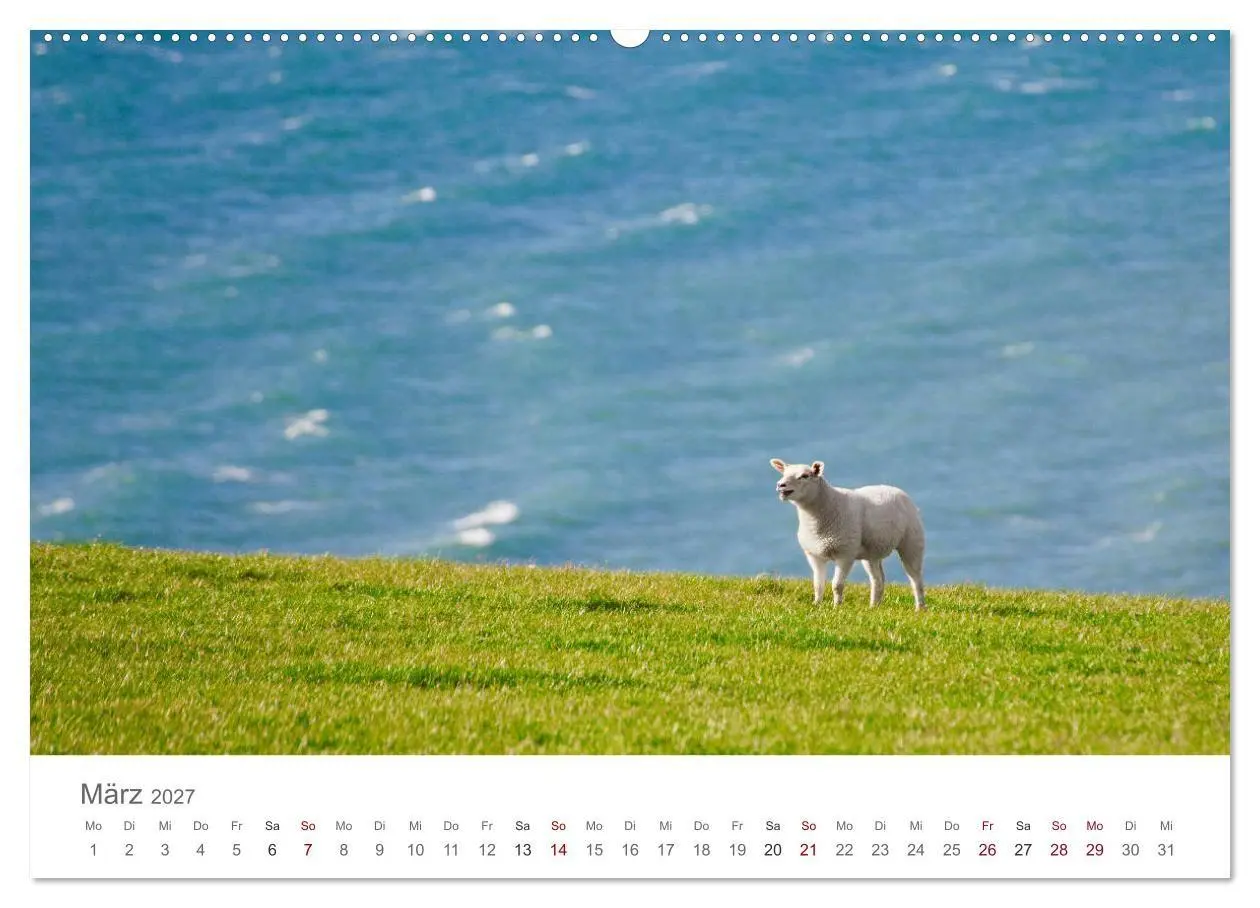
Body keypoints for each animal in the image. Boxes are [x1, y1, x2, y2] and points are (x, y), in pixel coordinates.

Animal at [770, 458, 926, 610]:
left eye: (805, 476)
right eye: (783, 473)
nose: (780, 485)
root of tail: (895, 489)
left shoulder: (845, 553)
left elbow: (837, 585)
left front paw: (836, 607)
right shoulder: (814, 554)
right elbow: (818, 584)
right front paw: (816, 604)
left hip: (912, 541)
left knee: (915, 578)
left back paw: (920, 608)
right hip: (872, 551)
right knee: (878, 579)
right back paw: (874, 607)